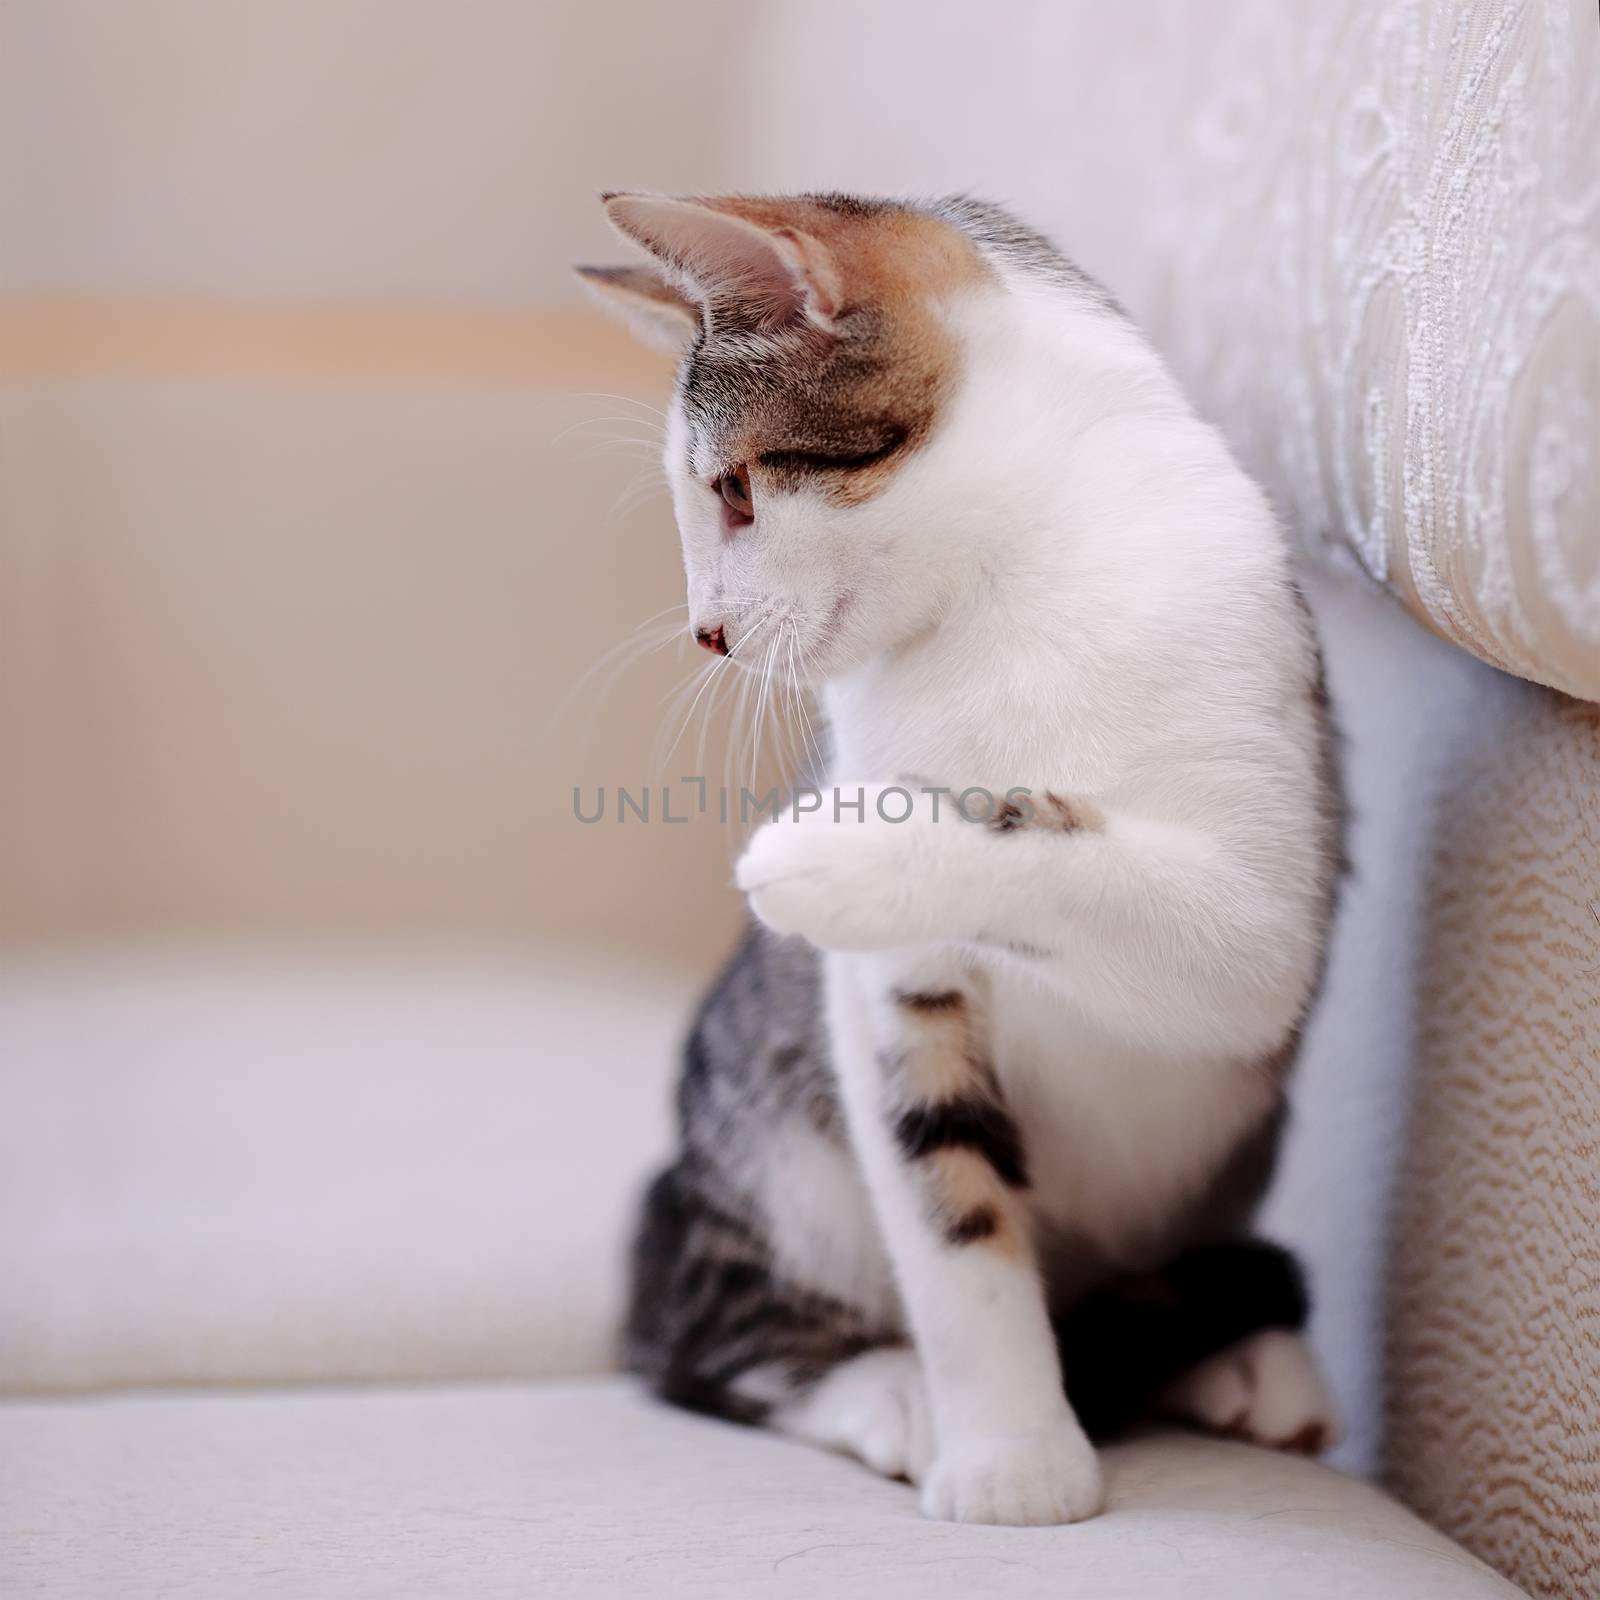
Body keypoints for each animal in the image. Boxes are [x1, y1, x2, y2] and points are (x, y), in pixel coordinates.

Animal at [582, 193, 1344, 1529]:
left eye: (734, 490)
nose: (707, 631)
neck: (999, 596)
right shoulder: (885, 997)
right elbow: (946, 1201)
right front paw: (1011, 1448)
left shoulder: (1267, 911)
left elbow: (1125, 885)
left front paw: (836, 853)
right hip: (765, 1170)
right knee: (692, 1332)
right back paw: (893, 1390)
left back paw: (1254, 1364)